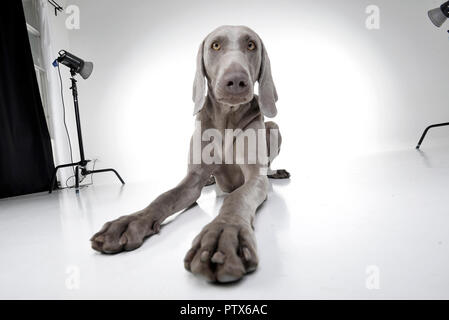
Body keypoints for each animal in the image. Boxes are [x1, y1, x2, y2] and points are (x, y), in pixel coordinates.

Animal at [90, 25, 290, 282]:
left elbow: (237, 197)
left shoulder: (255, 177)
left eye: (251, 45)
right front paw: (128, 222)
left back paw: (275, 172)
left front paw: (223, 235)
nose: (236, 80)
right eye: (215, 45)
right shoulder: (192, 180)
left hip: (273, 127)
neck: (226, 118)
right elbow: (164, 197)